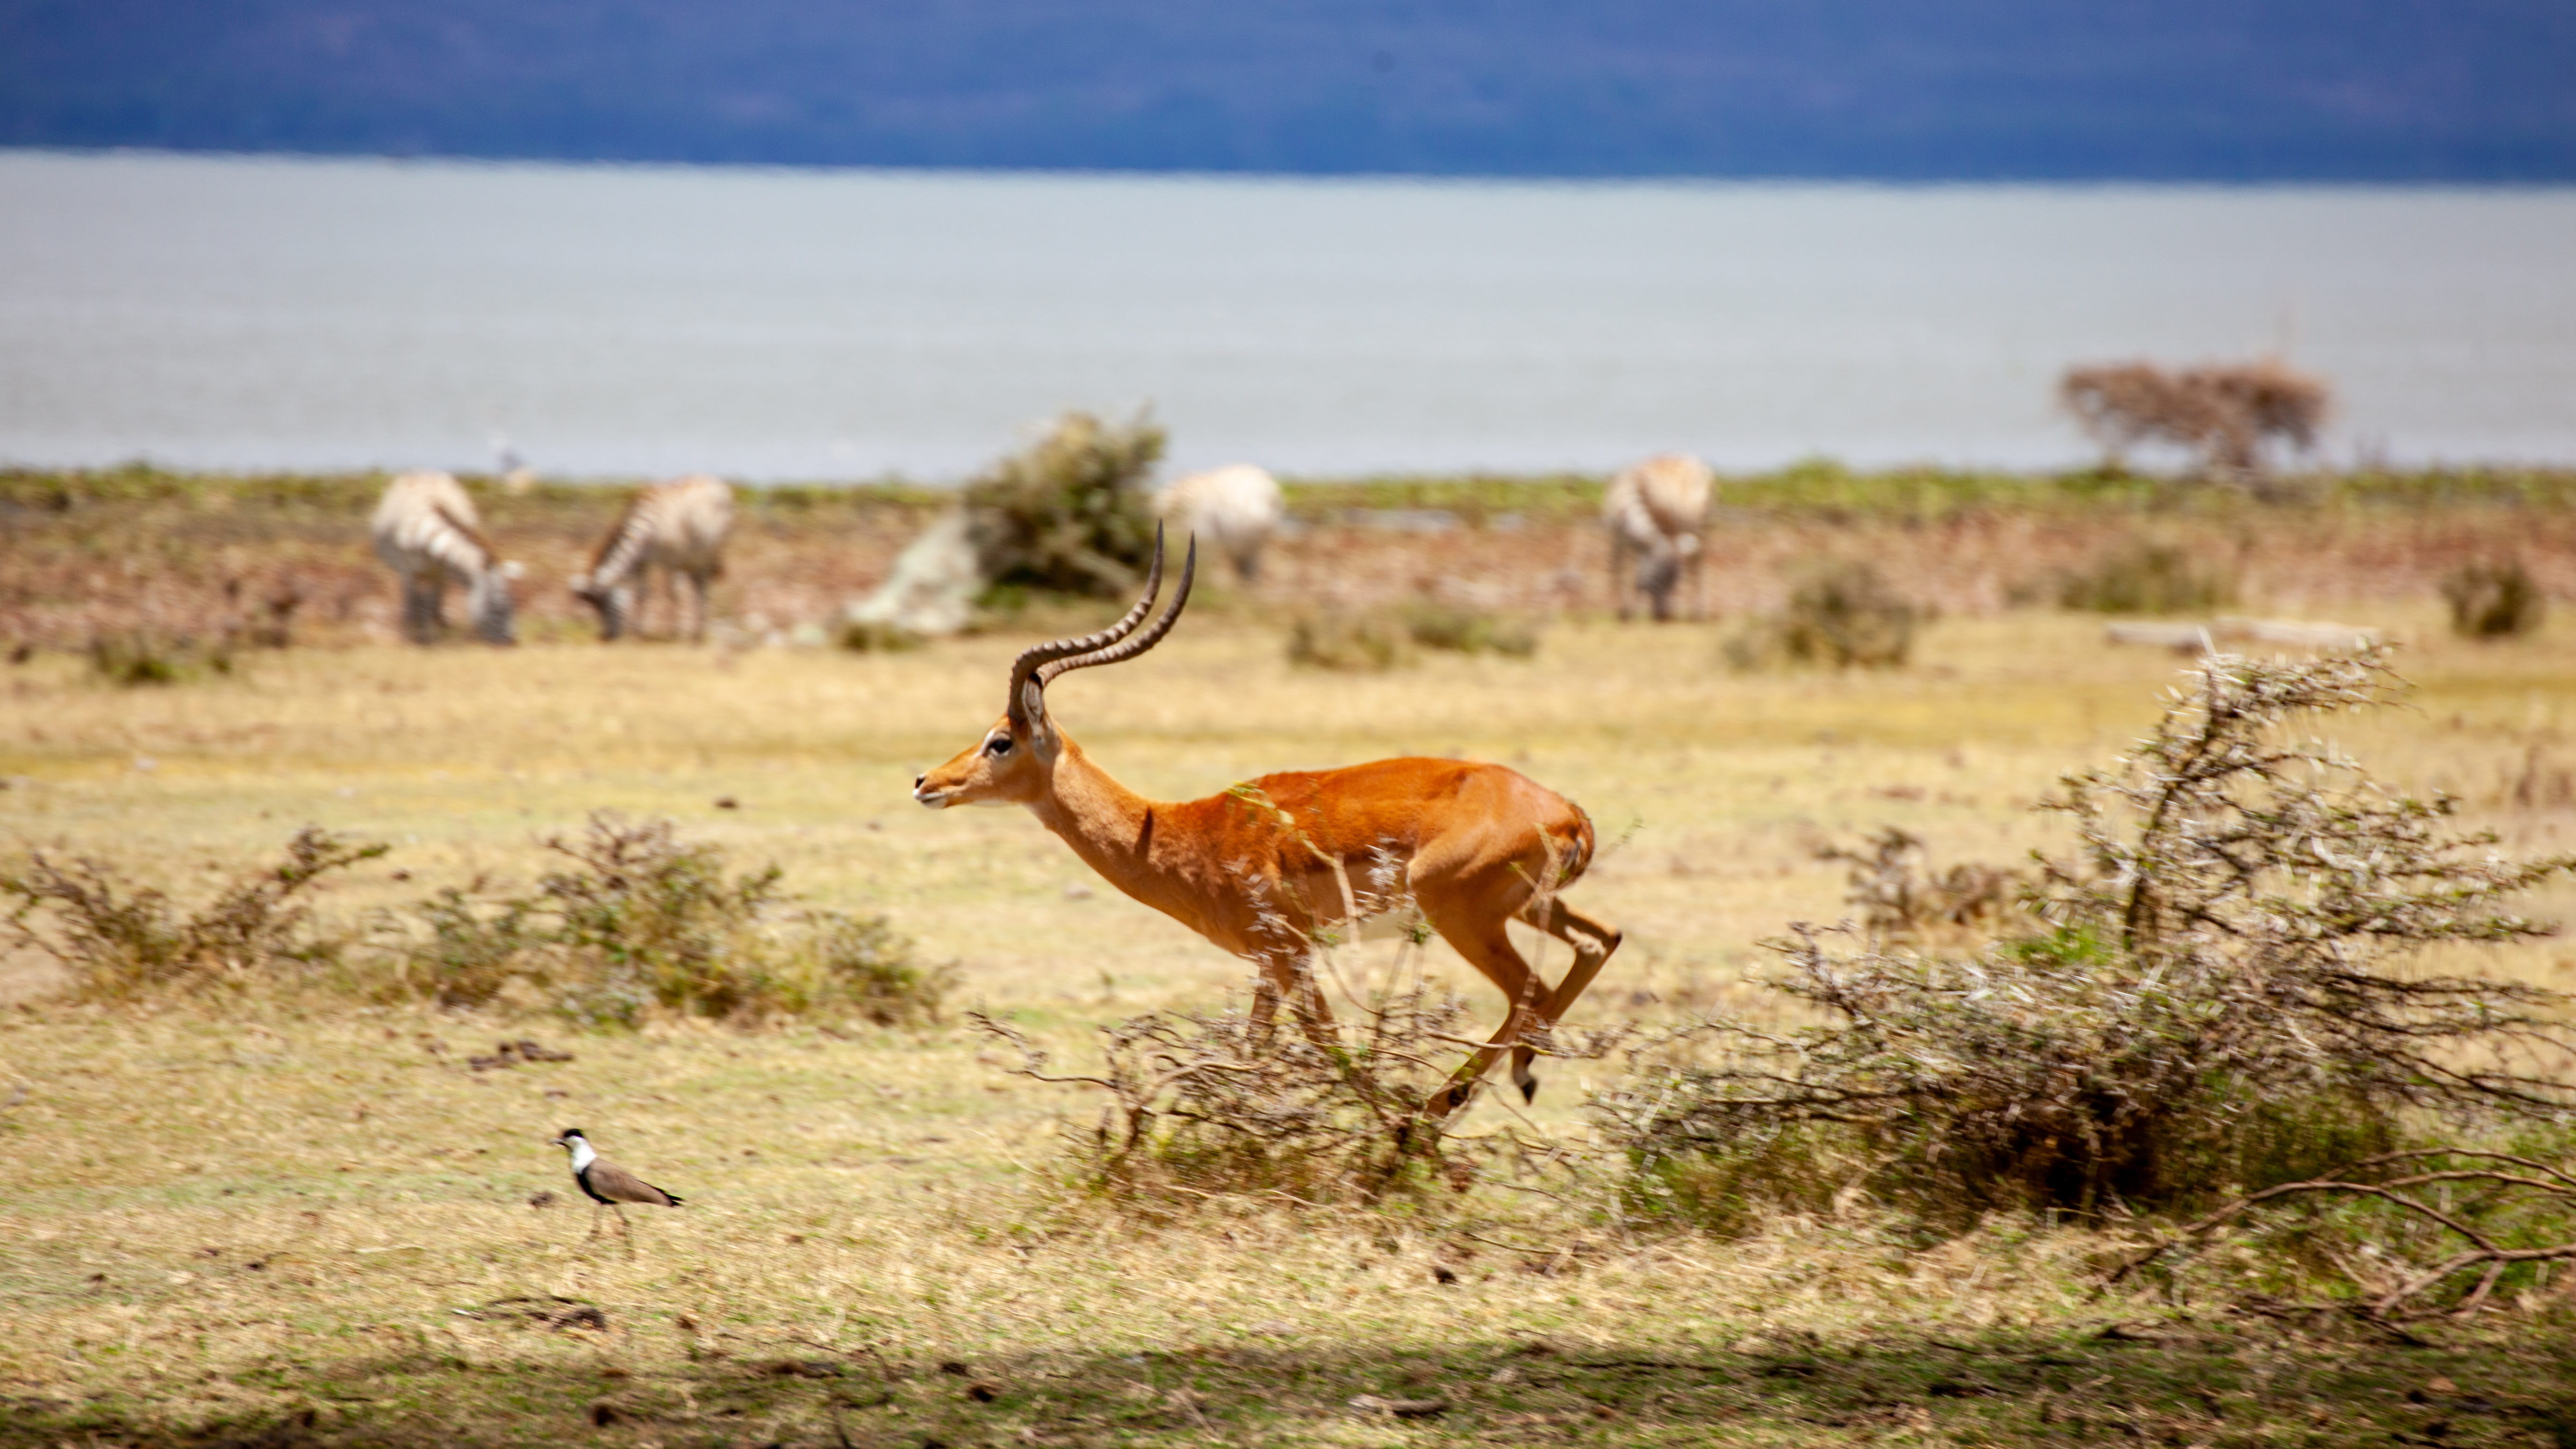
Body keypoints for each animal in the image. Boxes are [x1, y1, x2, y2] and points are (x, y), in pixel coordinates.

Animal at [370, 470, 519, 645]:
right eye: (498, 609)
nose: (511, 642)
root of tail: (424, 472)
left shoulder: (440, 573)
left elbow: (432, 604)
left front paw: (432, 636)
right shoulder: (408, 573)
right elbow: (412, 605)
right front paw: (410, 637)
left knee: (432, 602)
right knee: (416, 602)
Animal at [571, 475, 734, 642]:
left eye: (607, 607)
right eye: (596, 610)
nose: (606, 637)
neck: (647, 530)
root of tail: (717, 485)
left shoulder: (670, 560)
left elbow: (671, 594)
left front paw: (671, 633)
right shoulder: (643, 563)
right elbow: (641, 595)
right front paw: (637, 634)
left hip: (705, 555)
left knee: (702, 591)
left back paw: (697, 635)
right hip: (692, 559)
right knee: (695, 589)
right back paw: (694, 633)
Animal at [913, 530, 1621, 1121]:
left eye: (1000, 740)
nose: (925, 782)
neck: (1181, 833)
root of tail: (1561, 809)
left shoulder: (1289, 955)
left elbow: (1323, 1043)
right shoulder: (1269, 965)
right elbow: (1260, 1047)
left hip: (1461, 914)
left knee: (1530, 988)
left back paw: (1442, 1107)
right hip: (1526, 908)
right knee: (1597, 943)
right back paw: (1497, 1082)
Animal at [1603, 454, 1714, 621]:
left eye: (1675, 583)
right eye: (1658, 580)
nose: (1665, 616)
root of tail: (1688, 457)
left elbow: (1637, 576)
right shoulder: (1620, 539)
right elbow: (1623, 571)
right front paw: (1626, 610)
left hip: (1698, 526)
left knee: (1697, 564)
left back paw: (1698, 611)